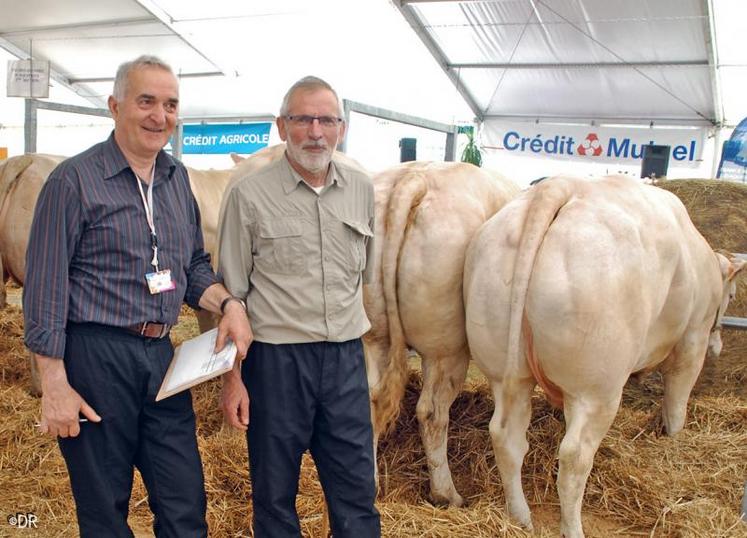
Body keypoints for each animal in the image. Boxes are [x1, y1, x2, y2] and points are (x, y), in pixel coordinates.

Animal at [364, 161, 520, 504]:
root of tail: (417, 177)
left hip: (374, 335)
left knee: (370, 399)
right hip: (446, 349)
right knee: (432, 413)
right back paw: (446, 494)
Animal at [464, 176, 744, 536]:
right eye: (732, 296)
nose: (718, 346)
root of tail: (558, 187)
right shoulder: (692, 337)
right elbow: (677, 400)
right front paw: (673, 438)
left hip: (504, 370)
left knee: (506, 437)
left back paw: (520, 516)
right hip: (597, 388)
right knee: (574, 458)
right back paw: (572, 528)